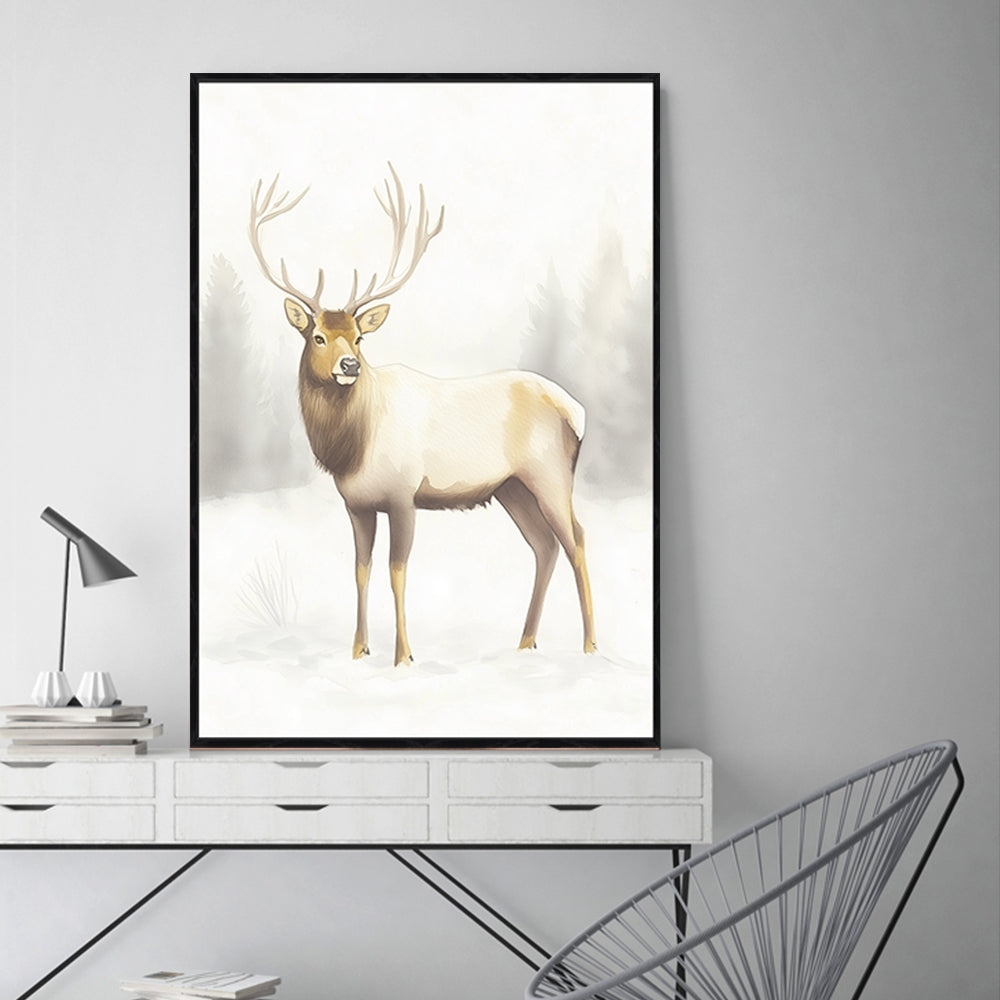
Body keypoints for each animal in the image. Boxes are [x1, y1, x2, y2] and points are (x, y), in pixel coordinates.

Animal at [248, 165, 596, 666]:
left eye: (359, 338)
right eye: (317, 336)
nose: (349, 366)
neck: (352, 448)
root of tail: (578, 411)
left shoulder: (402, 494)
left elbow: (397, 570)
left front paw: (403, 656)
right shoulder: (356, 504)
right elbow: (361, 569)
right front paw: (358, 651)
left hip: (549, 473)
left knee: (577, 539)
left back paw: (589, 646)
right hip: (512, 488)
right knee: (544, 546)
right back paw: (526, 642)